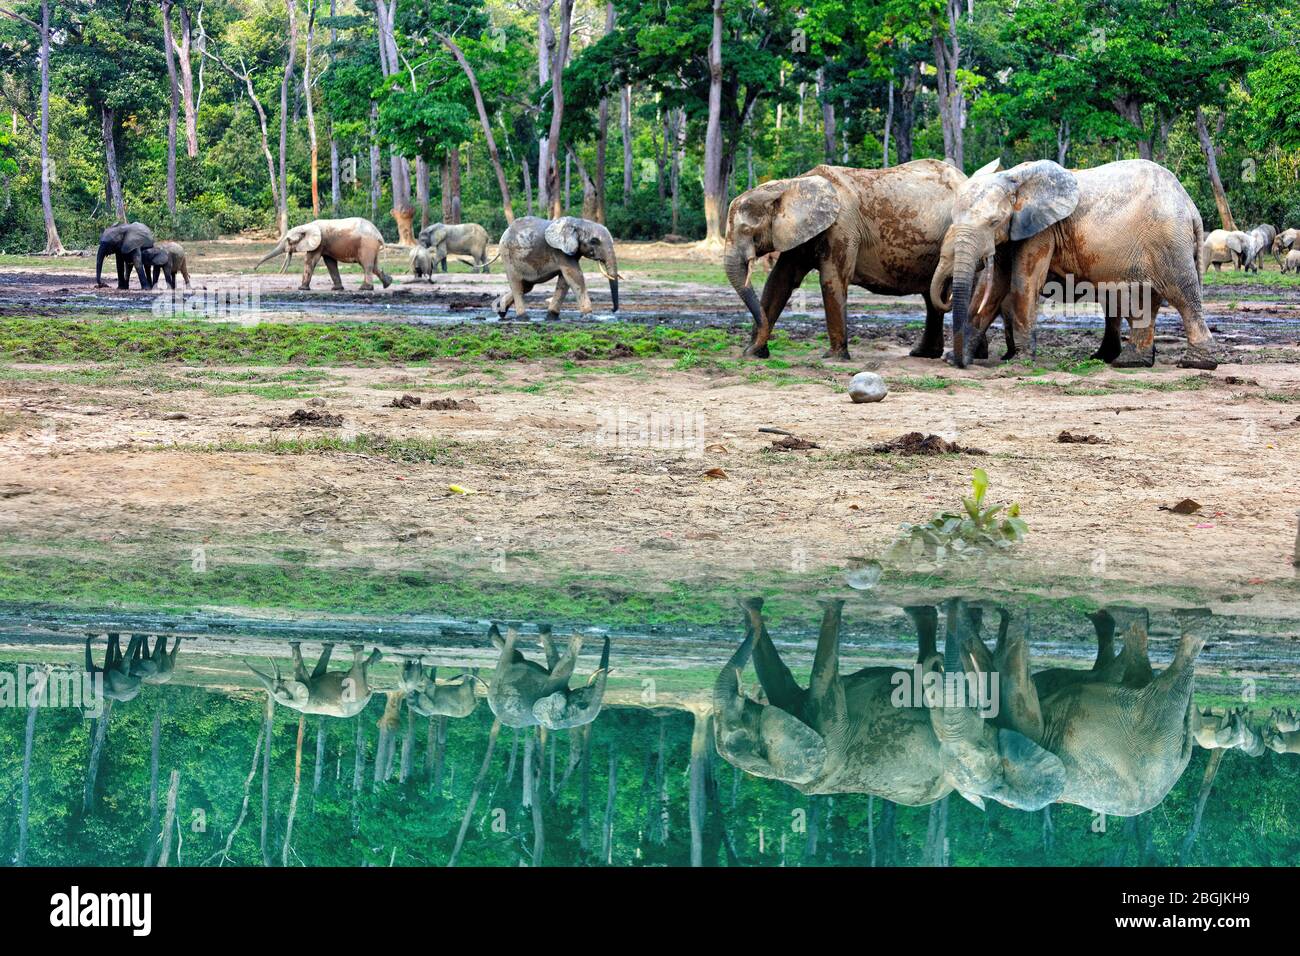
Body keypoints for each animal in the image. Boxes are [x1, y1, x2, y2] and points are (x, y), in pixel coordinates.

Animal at [245, 642, 382, 717]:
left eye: (279, 686)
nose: (244, 660)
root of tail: (368, 694)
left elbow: (318, 672)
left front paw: (327, 645)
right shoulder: (310, 689)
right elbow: (306, 674)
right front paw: (294, 644)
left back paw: (375, 654)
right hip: (355, 685)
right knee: (358, 667)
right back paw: (361, 648)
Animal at [253, 217, 390, 290]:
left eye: (289, 241)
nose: (254, 269)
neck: (307, 226)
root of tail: (379, 234)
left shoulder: (320, 243)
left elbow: (310, 260)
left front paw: (302, 289)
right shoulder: (325, 245)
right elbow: (330, 263)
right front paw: (337, 289)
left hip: (366, 245)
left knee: (366, 265)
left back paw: (364, 288)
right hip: (371, 247)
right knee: (374, 266)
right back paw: (387, 284)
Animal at [493, 214, 621, 319]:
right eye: (594, 241)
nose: (612, 310)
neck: (578, 222)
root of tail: (505, 231)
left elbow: (565, 280)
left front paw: (552, 316)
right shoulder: (559, 251)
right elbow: (575, 276)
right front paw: (589, 316)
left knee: (527, 286)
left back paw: (500, 310)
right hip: (508, 257)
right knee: (517, 285)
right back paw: (523, 317)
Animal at [717, 158, 998, 361]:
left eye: (746, 231)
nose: (761, 350)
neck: (790, 185)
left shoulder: (842, 227)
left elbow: (832, 279)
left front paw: (833, 358)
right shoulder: (802, 232)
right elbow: (780, 281)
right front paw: (752, 354)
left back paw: (968, 356)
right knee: (933, 295)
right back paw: (928, 354)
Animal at [935, 157, 1216, 369]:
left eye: (993, 222)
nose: (960, 363)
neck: (1012, 178)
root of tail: (1190, 206)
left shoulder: (1041, 231)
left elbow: (1024, 281)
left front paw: (1021, 363)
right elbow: (992, 287)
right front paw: (953, 359)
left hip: (1168, 239)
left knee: (1181, 293)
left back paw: (1197, 363)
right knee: (1143, 299)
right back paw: (1130, 362)